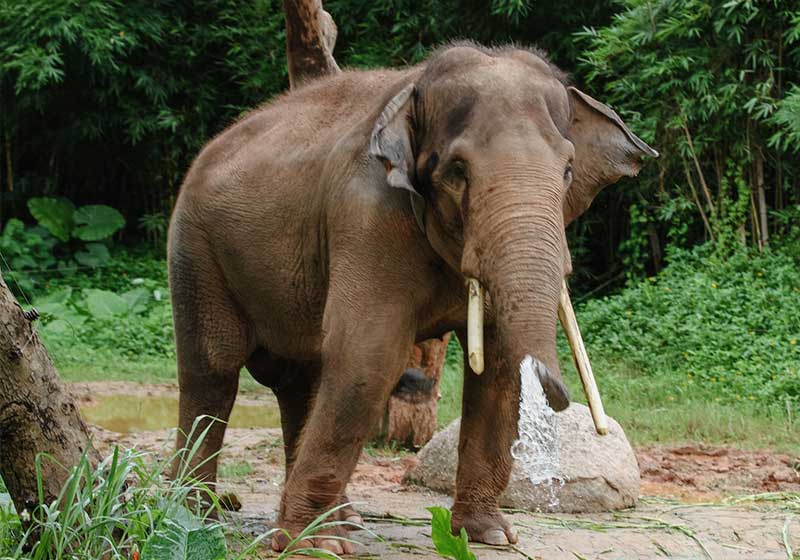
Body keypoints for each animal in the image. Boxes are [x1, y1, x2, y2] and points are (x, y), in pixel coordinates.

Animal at [167, 41, 657, 554]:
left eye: (567, 170)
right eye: (458, 171)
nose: (558, 394)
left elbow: (498, 367)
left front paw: (491, 535)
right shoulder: (367, 216)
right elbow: (369, 354)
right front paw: (312, 548)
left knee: (302, 380)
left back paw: (342, 522)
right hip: (196, 251)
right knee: (213, 374)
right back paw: (199, 516)